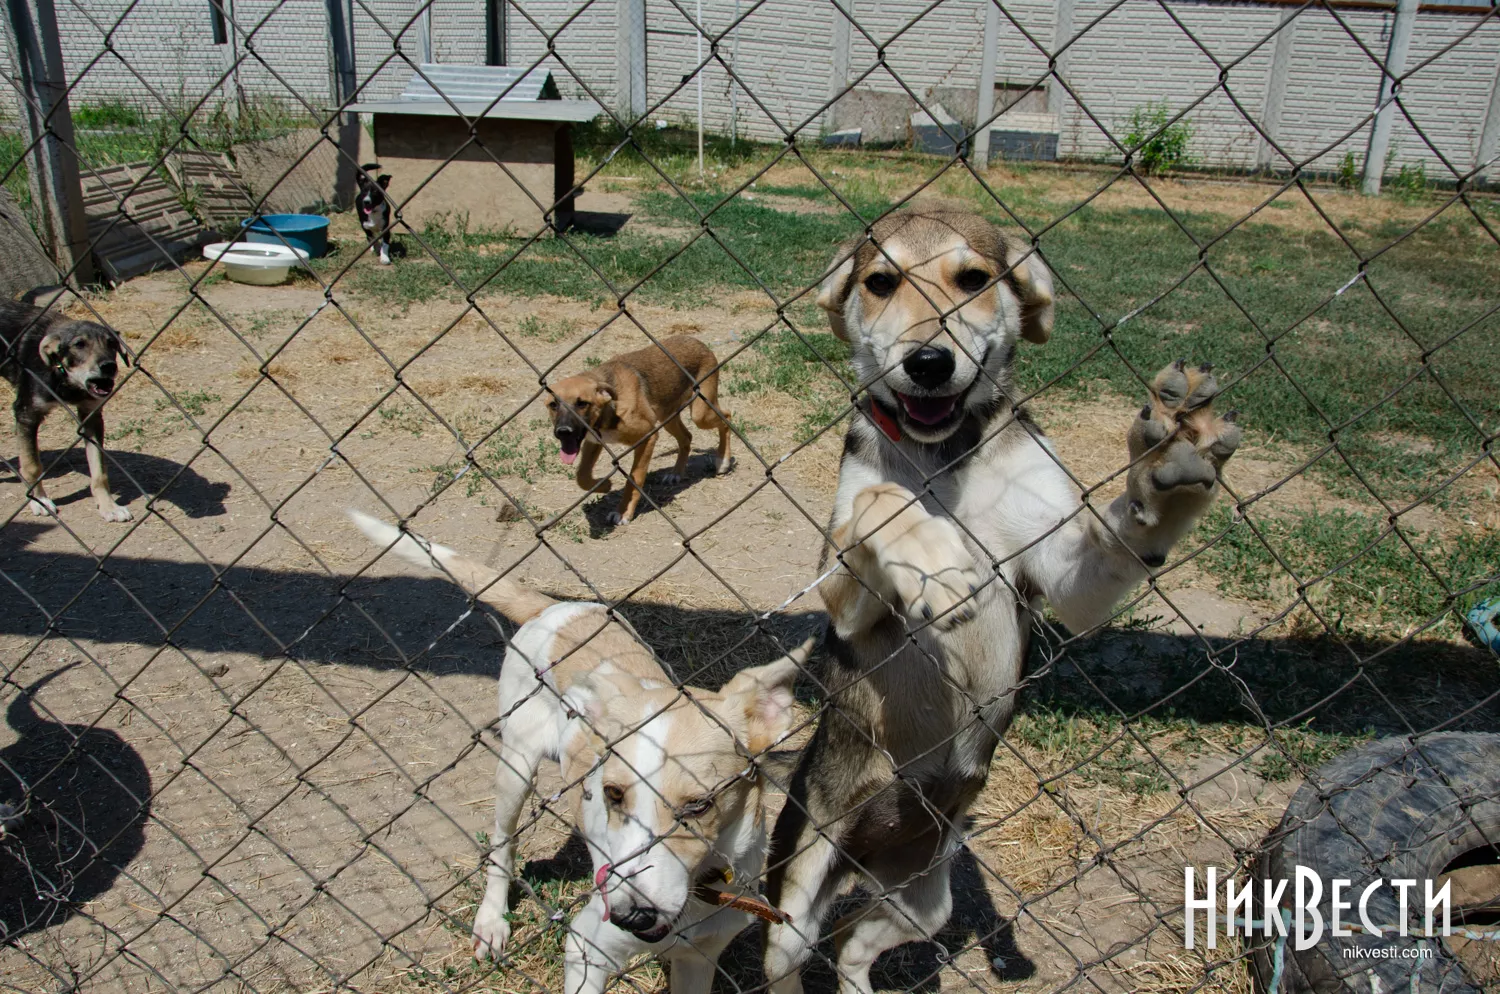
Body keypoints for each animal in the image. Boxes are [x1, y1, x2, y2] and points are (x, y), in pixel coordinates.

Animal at [349, 512, 804, 994]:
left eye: (700, 806)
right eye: (613, 794)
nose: (630, 916)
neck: (699, 893)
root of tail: (554, 608)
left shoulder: (699, 960)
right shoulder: (587, 948)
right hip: (515, 770)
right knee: (502, 845)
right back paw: (491, 921)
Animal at [552, 334, 738, 524]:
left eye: (582, 403)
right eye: (553, 405)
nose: (563, 431)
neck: (609, 409)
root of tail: (696, 341)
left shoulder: (647, 437)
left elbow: (635, 479)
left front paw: (623, 512)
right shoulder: (593, 441)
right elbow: (582, 476)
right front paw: (603, 485)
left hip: (701, 413)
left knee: (727, 417)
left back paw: (723, 460)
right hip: (668, 416)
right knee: (687, 437)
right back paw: (676, 473)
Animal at [762, 205, 1242, 989]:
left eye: (974, 279)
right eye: (881, 282)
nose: (928, 363)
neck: (946, 455)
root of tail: (867, 852)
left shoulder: (1064, 572)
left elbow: (1125, 531)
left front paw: (1171, 455)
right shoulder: (843, 599)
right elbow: (882, 502)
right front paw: (934, 558)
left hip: (924, 899)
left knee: (851, 943)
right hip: (798, 892)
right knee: (795, 952)